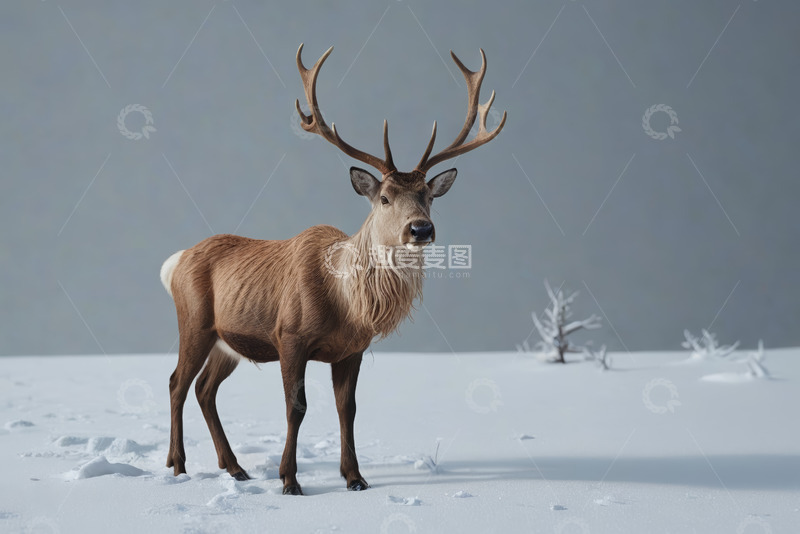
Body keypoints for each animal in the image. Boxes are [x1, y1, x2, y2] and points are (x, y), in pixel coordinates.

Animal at [160, 44, 506, 496]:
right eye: (385, 198)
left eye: (428, 196)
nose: (421, 228)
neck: (347, 304)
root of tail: (175, 261)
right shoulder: (289, 336)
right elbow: (296, 406)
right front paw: (290, 480)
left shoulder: (353, 349)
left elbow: (348, 408)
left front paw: (355, 478)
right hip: (195, 321)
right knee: (177, 383)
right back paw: (177, 465)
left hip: (228, 341)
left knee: (204, 389)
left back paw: (234, 467)